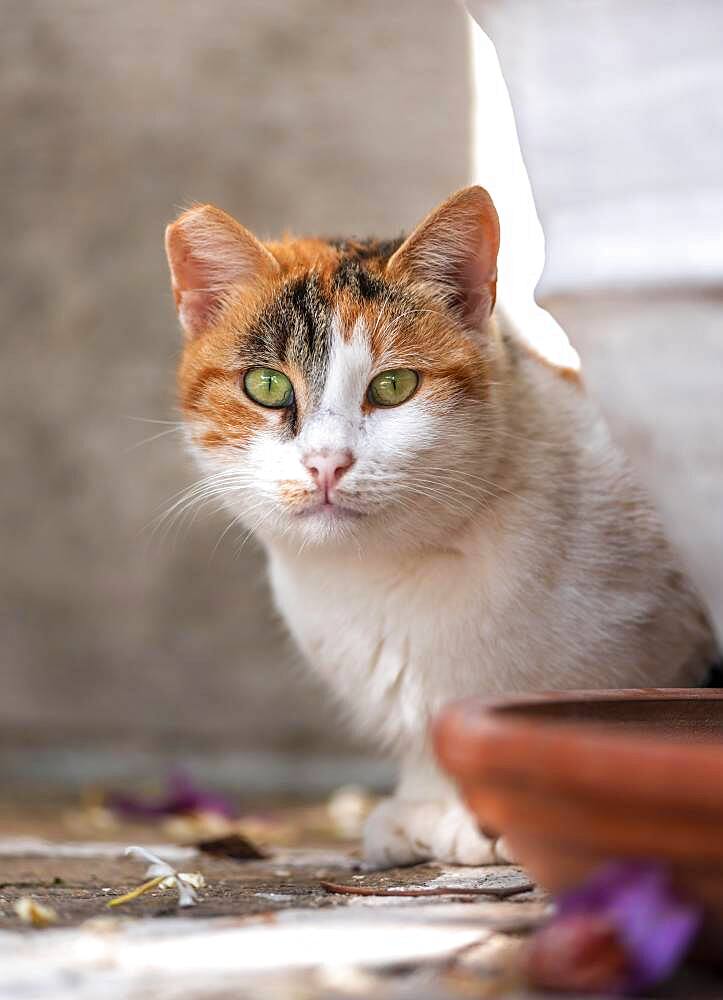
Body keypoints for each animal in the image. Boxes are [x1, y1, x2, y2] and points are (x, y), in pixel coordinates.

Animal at [165, 188, 720, 868]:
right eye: (267, 385)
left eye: (394, 385)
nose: (326, 462)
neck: (382, 578)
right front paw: (422, 808)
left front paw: (480, 820)